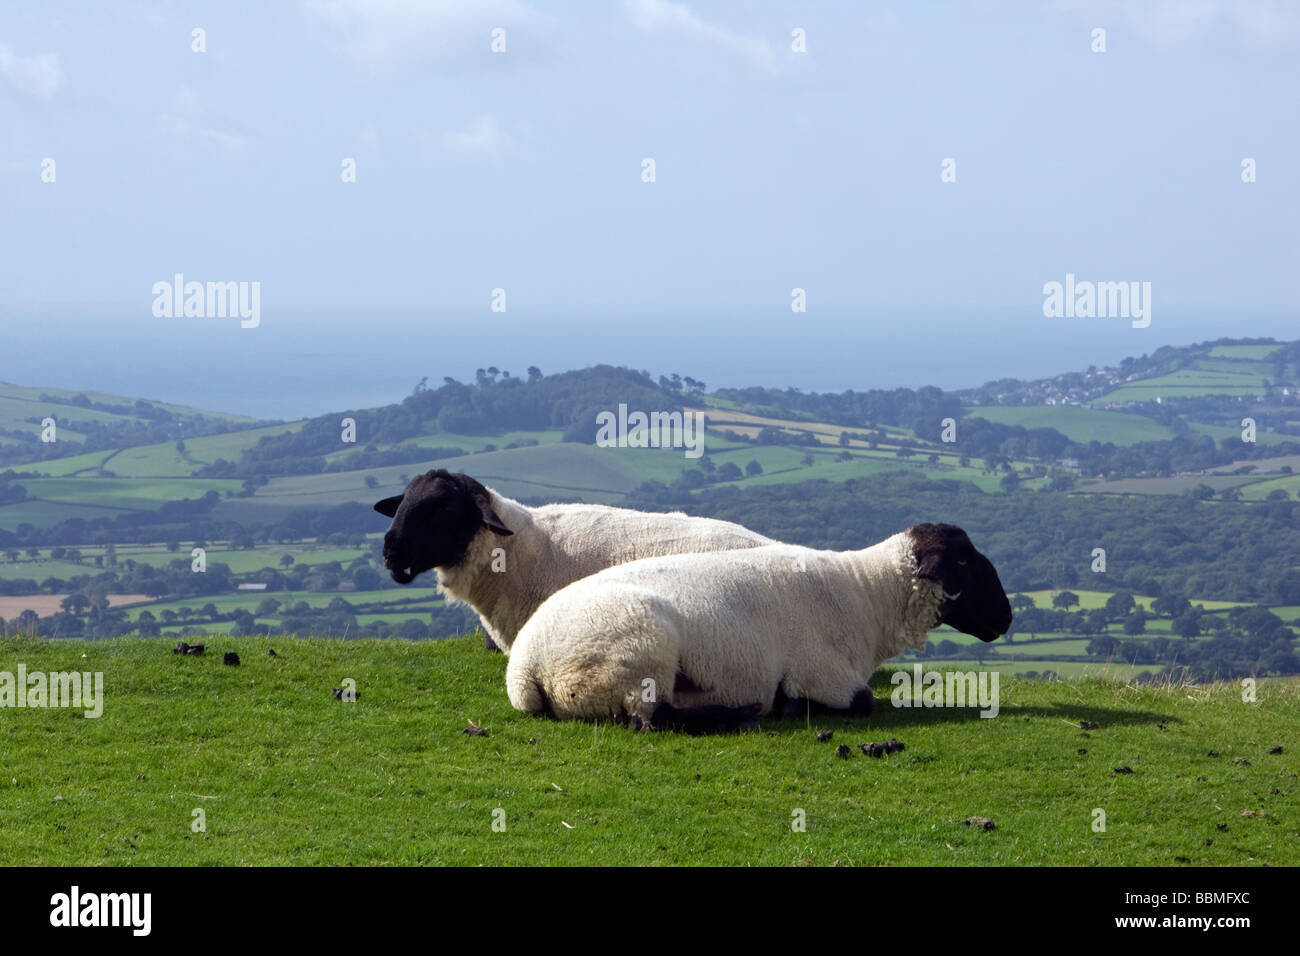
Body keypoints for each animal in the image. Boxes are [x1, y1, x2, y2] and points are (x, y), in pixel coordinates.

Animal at [501, 522, 1008, 733]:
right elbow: (862, 701)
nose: (1006, 616)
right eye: (964, 561)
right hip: (640, 650)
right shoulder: (822, 673)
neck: (868, 594)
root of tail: (526, 667)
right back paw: (740, 713)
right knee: (651, 719)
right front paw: (790, 705)